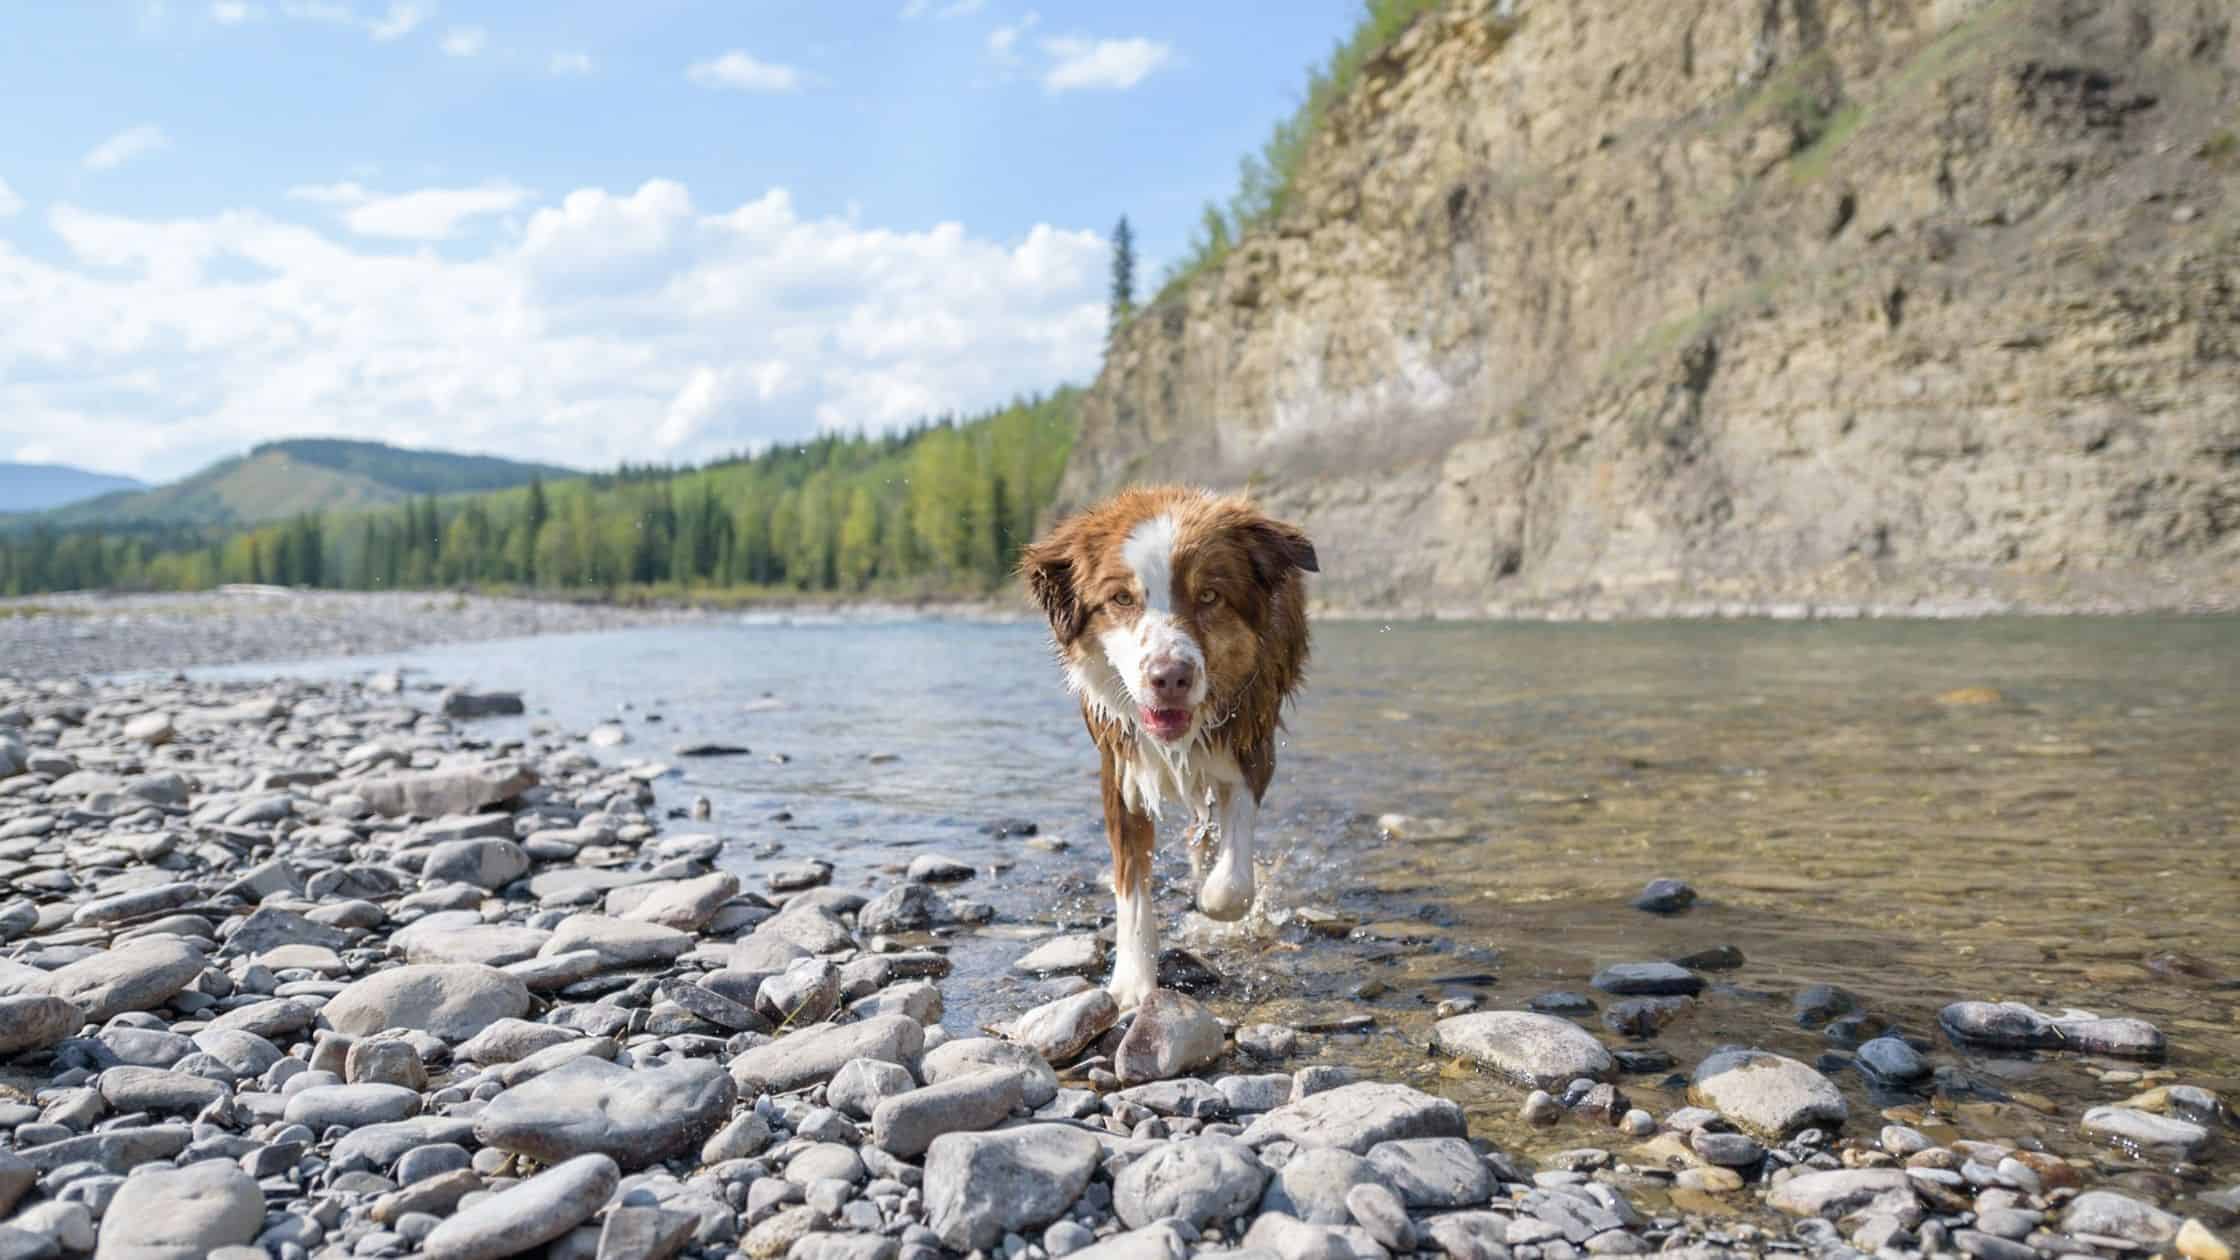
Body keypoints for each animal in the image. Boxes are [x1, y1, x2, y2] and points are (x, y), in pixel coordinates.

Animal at [1025, 486, 1317, 1004]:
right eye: (1121, 598)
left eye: (1210, 595)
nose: (1170, 678)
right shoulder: (1121, 769)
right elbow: (1132, 889)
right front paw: (1132, 985)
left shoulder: (1252, 746)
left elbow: (1232, 884)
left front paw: (1212, 903)